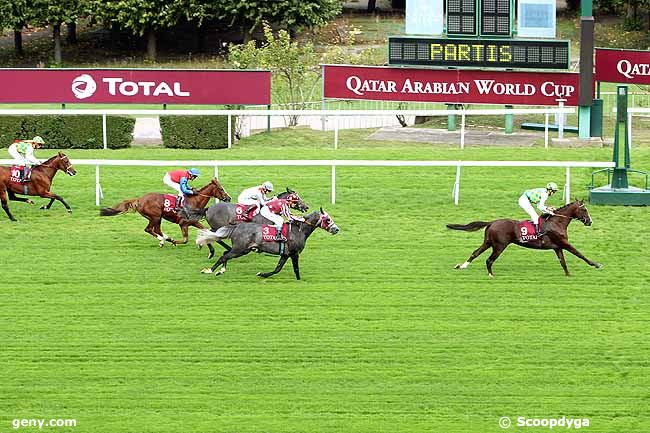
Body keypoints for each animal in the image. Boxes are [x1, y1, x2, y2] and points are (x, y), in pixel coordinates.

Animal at [100, 177, 232, 246]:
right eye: (221, 189)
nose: (229, 198)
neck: (194, 201)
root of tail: (140, 199)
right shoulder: (183, 224)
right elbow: (185, 240)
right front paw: (173, 241)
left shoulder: (194, 222)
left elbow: (205, 229)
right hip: (155, 216)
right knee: (149, 229)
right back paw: (163, 239)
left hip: (157, 218)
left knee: (156, 229)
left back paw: (164, 238)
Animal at [194, 208, 340, 278]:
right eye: (327, 219)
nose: (336, 229)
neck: (299, 231)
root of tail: (237, 226)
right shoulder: (294, 253)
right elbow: (296, 269)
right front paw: (300, 280)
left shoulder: (285, 254)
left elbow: (277, 269)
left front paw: (262, 274)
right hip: (240, 249)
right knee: (223, 256)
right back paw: (210, 270)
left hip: (241, 249)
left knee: (225, 253)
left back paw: (221, 270)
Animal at [446, 200, 604, 276]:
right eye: (584, 209)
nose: (590, 222)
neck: (557, 222)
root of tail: (492, 222)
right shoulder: (564, 243)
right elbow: (579, 254)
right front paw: (596, 264)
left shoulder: (557, 247)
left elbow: (563, 262)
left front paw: (568, 275)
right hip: (499, 246)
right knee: (489, 260)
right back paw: (491, 275)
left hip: (488, 242)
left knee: (475, 253)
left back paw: (462, 266)